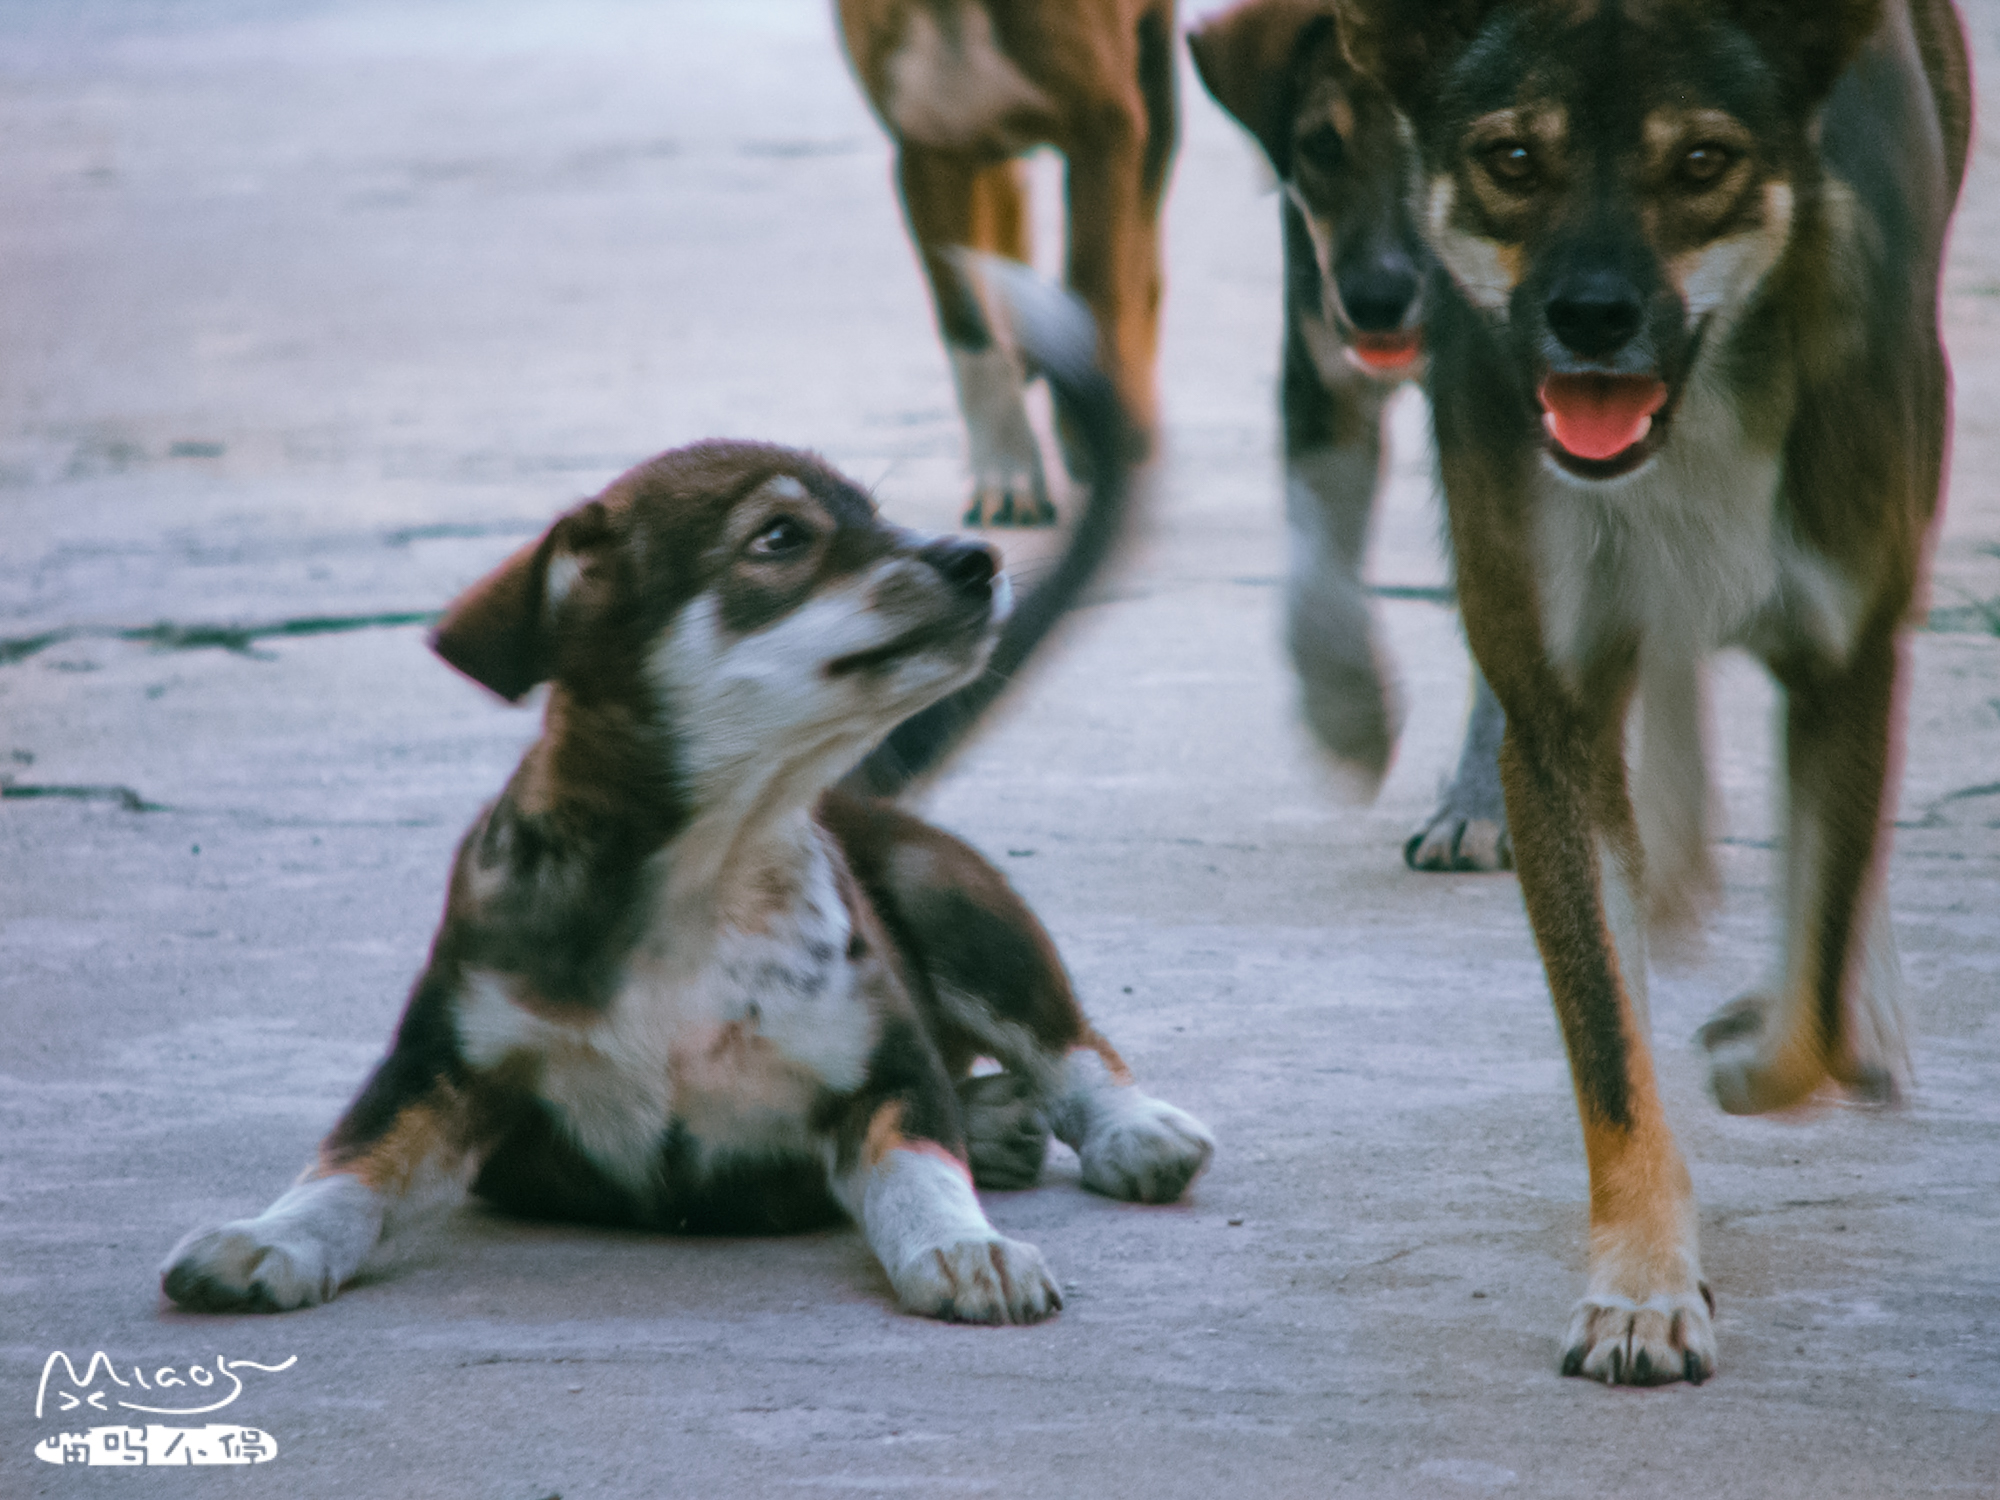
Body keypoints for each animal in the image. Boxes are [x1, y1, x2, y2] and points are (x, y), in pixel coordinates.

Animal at [164, 270, 1208, 1328]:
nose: (981, 557)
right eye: (780, 537)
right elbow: (351, 1161)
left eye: (879, 518)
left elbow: (921, 1163)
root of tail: (852, 796)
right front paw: (268, 1237)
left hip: (952, 896)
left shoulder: (887, 1073)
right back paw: (998, 1123)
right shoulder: (440, 1067)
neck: (714, 861)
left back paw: (1127, 1128)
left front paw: (967, 1247)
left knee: (1067, 1042)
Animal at [840, 0, 1176, 528]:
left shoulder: (1107, 132)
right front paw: (1007, 474)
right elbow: (968, 328)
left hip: (1156, 84)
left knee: (1143, 253)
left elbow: (1098, 287)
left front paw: (1099, 441)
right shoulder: (929, 151)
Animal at [1184, 0, 1512, 868]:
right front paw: (1350, 719)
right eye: (1321, 146)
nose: (1375, 299)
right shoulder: (1320, 383)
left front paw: (1480, 805)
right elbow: (1315, 583)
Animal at [1336, 0, 1976, 1392]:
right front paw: (1639, 1288)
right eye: (1511, 158)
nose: (1588, 316)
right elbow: (1608, 1047)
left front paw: (1762, 1044)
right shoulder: (1548, 715)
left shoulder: (1843, 654)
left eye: (1700, 163)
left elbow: (1807, 994)